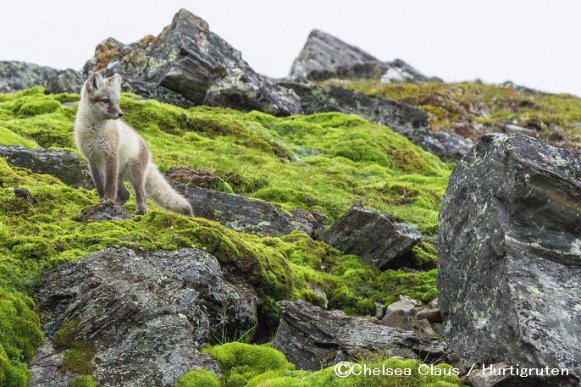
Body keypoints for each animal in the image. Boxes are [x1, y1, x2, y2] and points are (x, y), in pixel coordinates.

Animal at [73, 73, 193, 217]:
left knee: (140, 193)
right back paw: (118, 204)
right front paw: (102, 201)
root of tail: (147, 150)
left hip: (134, 173)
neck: (95, 131)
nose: (120, 114)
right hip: (119, 174)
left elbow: (110, 186)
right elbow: (100, 186)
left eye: (117, 101)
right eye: (105, 100)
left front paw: (108, 201)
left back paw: (140, 211)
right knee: (126, 194)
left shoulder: (110, 155)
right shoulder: (92, 159)